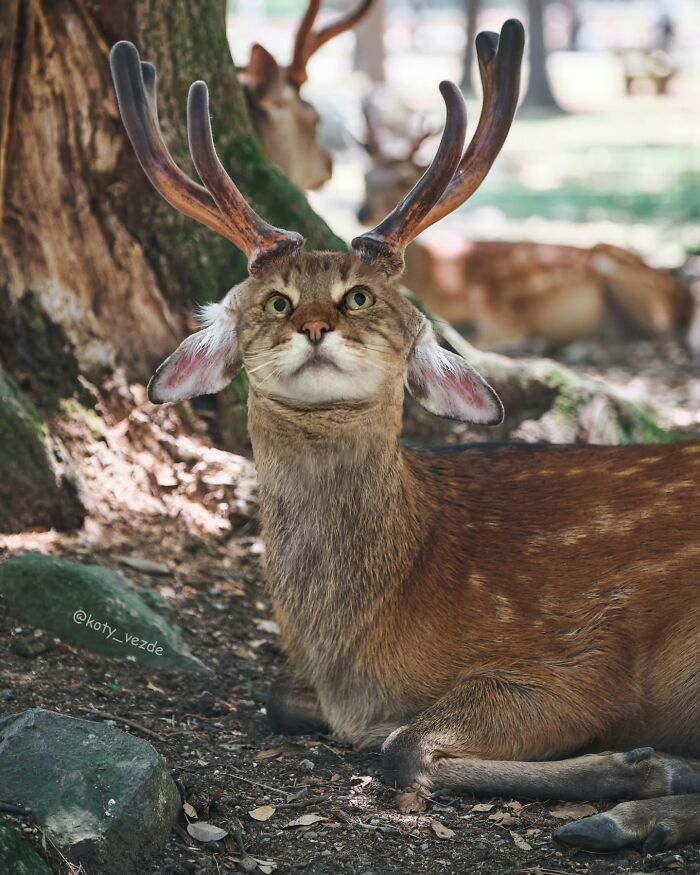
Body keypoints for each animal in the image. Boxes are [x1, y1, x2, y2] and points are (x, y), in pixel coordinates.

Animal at [111, 22, 700, 855]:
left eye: (363, 296)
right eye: (272, 299)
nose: (313, 325)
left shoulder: (578, 657)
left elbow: (403, 745)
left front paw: (646, 765)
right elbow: (279, 698)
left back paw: (634, 811)